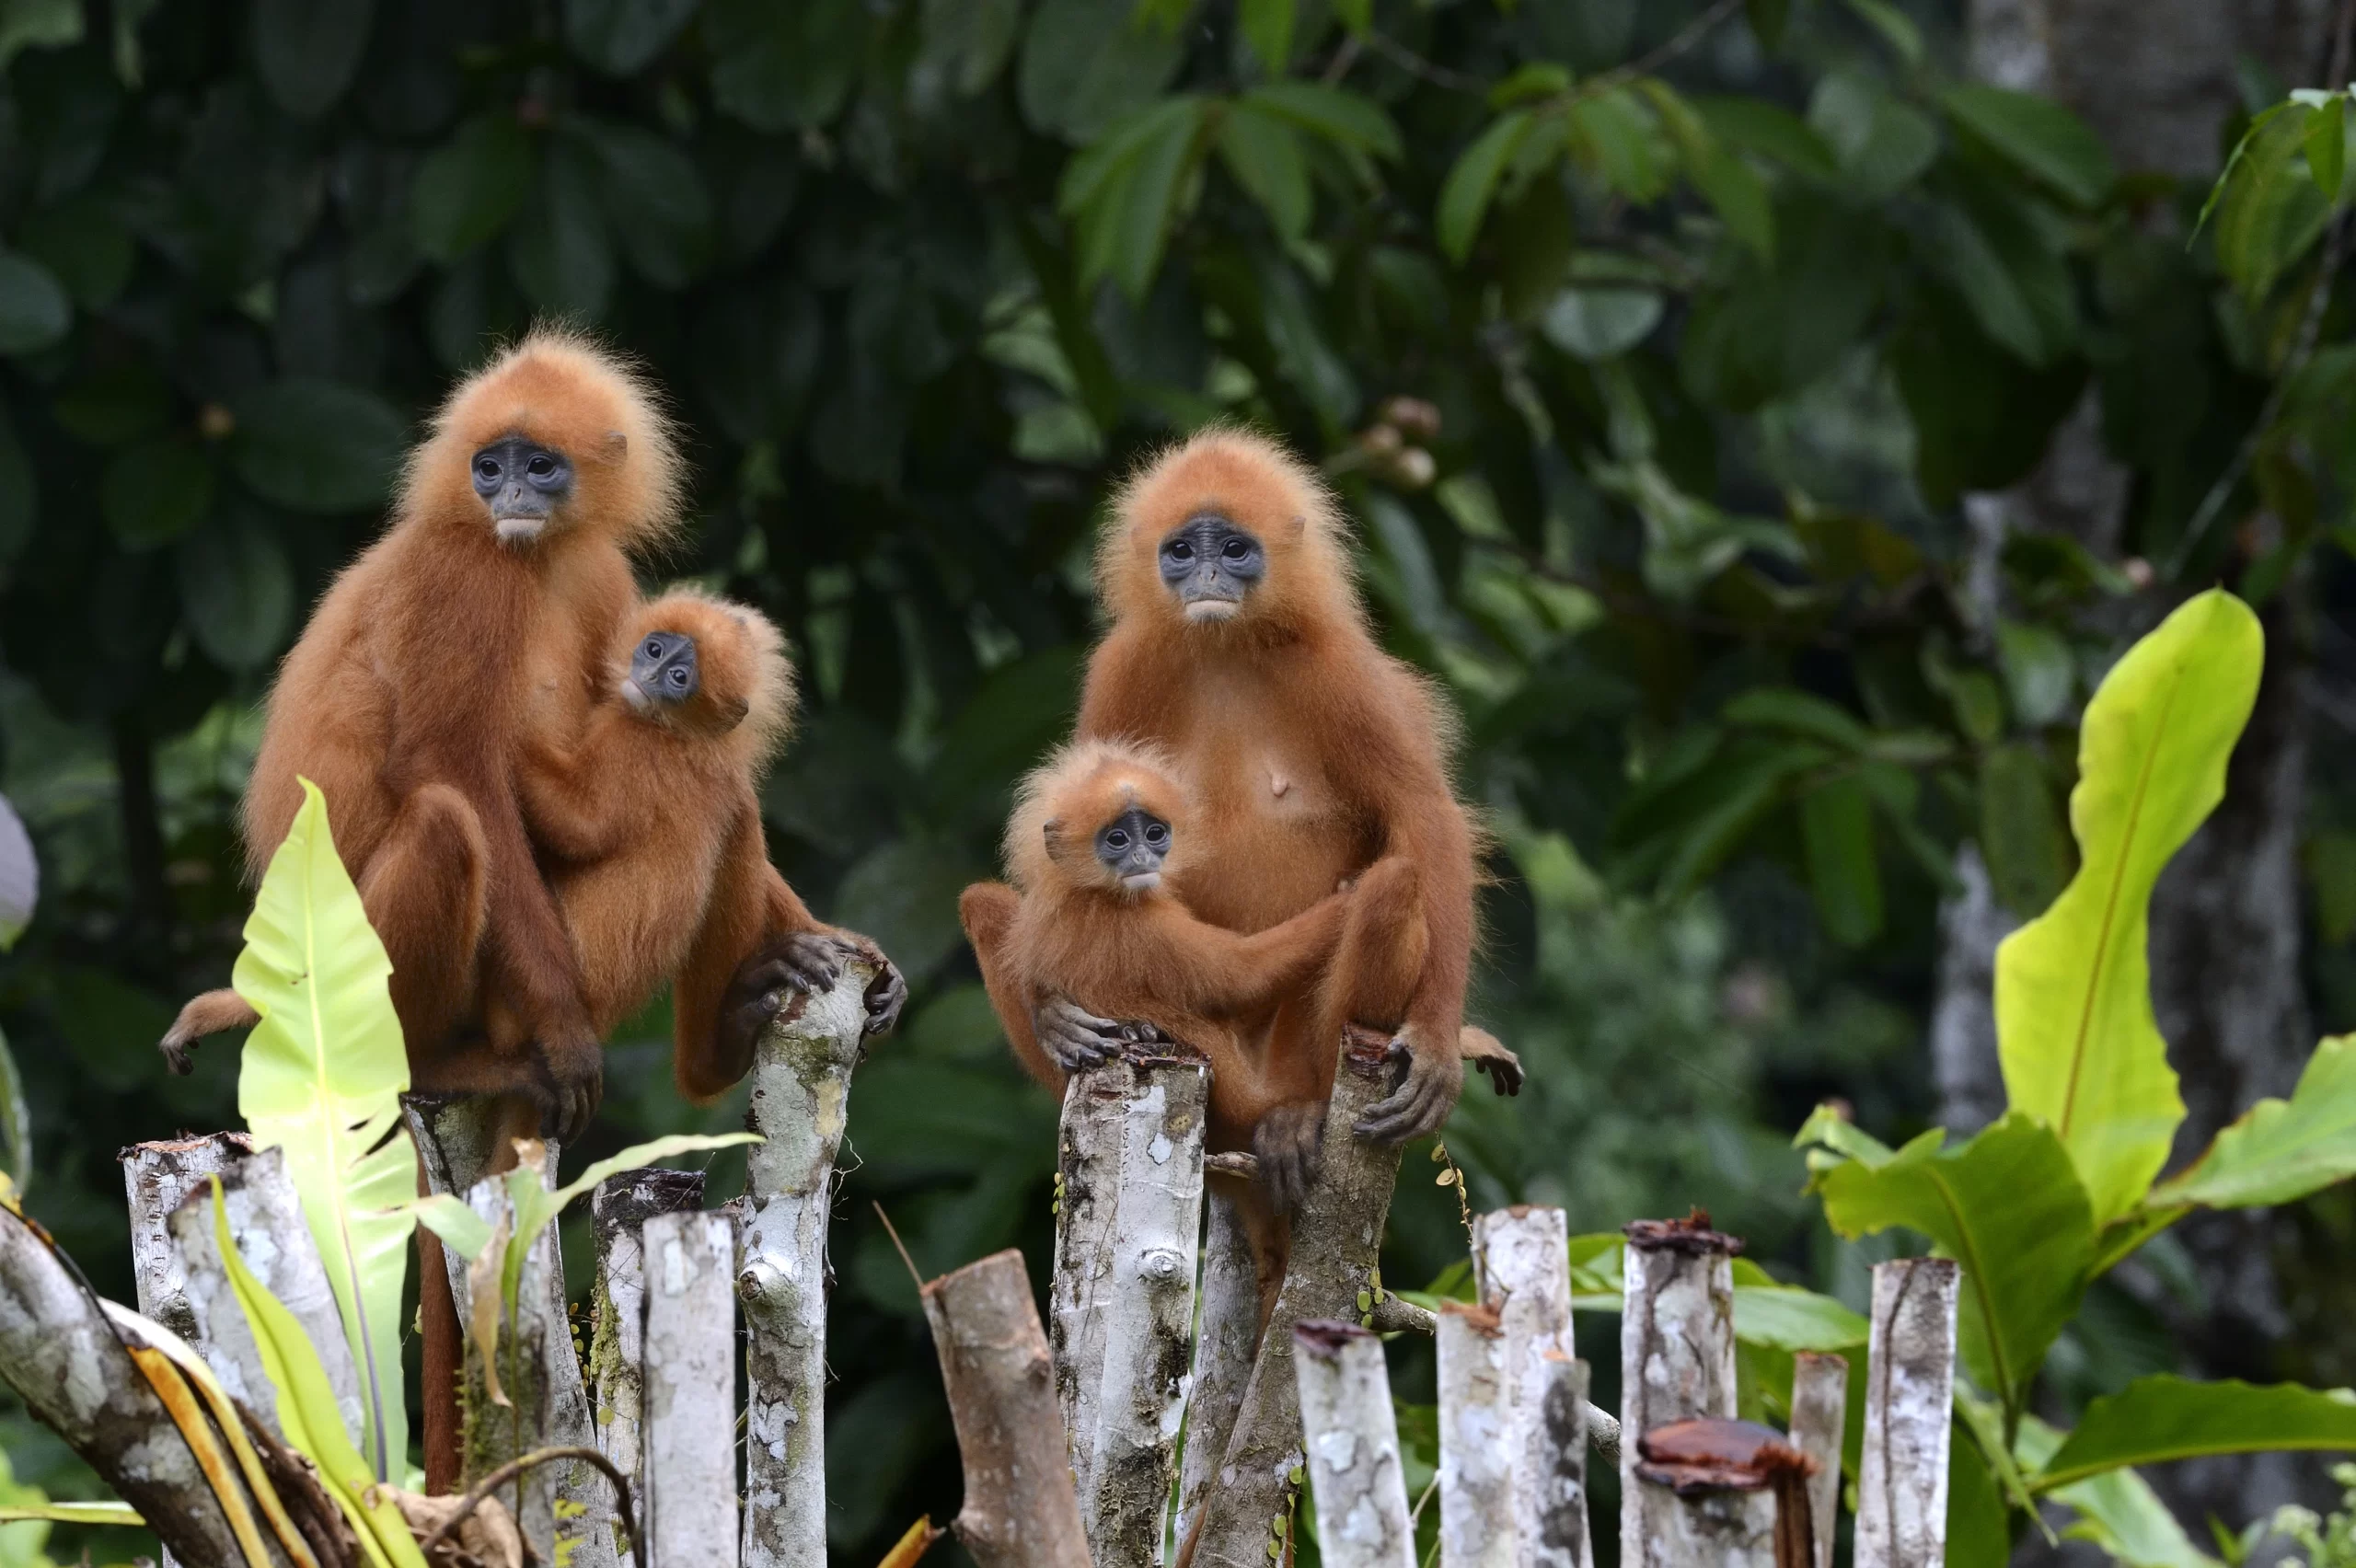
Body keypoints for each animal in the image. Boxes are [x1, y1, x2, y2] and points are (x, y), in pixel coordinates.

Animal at [1043, 426, 1512, 1208]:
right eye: (1181, 550)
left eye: (1234, 549)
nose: (1207, 575)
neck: (1226, 643)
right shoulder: (1123, 664)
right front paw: (1053, 1010)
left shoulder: (1340, 666)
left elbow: (1425, 818)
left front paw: (1439, 1042)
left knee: (1397, 884)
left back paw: (1300, 1117)